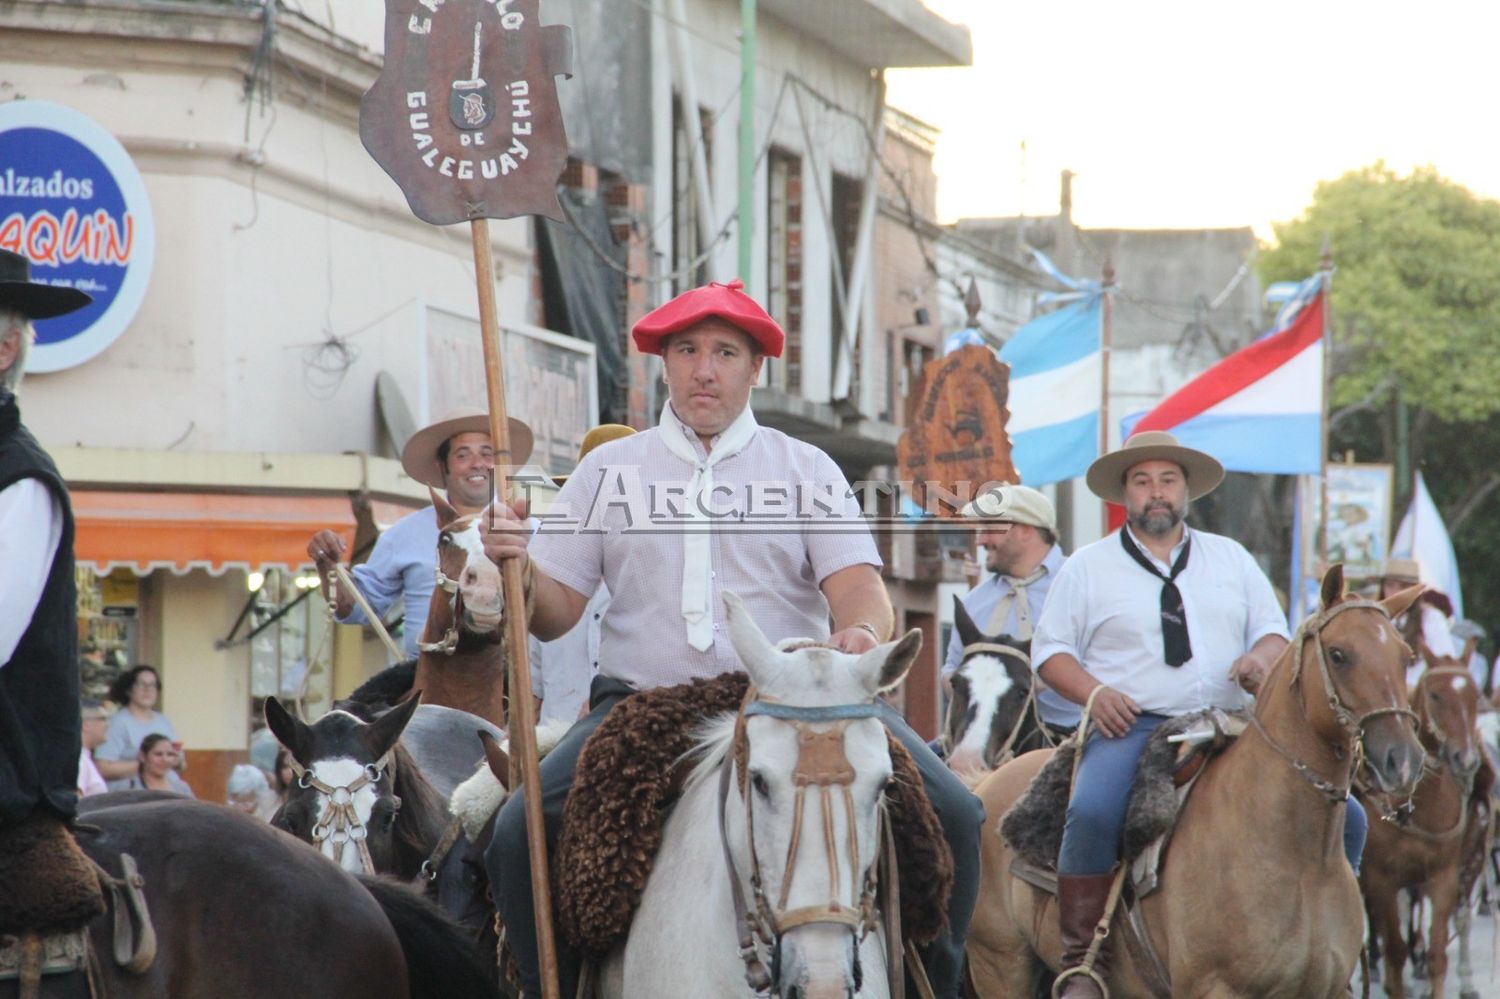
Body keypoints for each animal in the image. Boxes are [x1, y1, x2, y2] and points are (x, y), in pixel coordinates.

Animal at [966, 567, 1422, 996]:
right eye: (1339, 653)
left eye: (1405, 657)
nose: (1403, 759)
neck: (1294, 855)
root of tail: (984, 784)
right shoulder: (1213, 987)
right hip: (999, 964)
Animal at [1362, 639, 1488, 996]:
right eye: (1435, 695)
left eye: (1475, 696)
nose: (1466, 760)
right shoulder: (1382, 879)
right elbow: (1395, 949)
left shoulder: (1445, 874)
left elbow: (1437, 952)